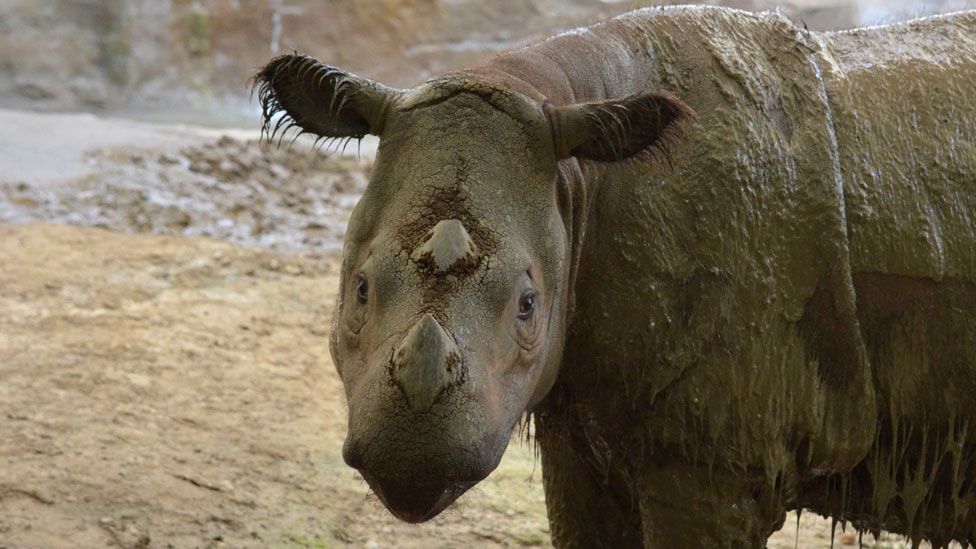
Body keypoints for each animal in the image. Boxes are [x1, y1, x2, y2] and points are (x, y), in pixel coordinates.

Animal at [253, 5, 976, 547]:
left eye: (528, 304)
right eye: (359, 289)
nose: (411, 463)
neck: (579, 175)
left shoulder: (714, 459)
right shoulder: (584, 428)